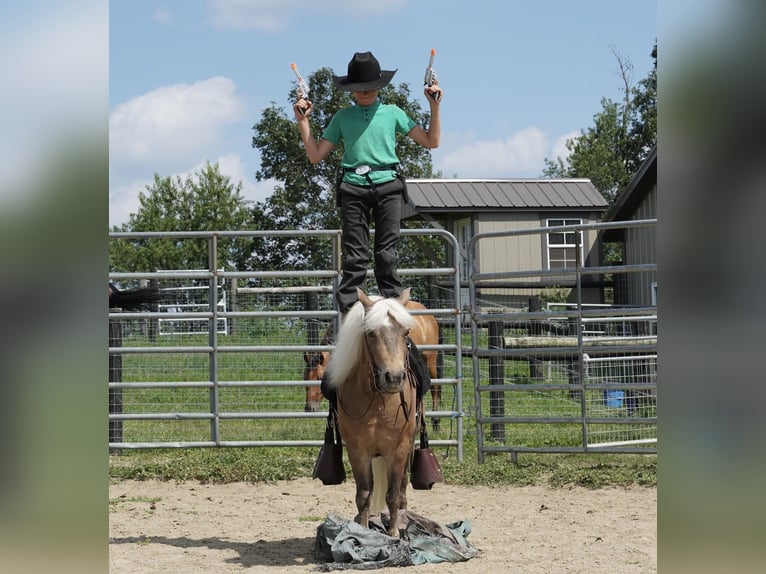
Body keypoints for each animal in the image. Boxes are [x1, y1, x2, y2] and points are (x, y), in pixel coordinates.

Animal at [303, 301, 440, 425]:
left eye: (319, 377)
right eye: (305, 378)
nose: (309, 408)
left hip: (430, 360)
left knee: (435, 387)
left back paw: (435, 421)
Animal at [324, 288, 420, 537]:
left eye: (405, 332)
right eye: (371, 334)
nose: (394, 378)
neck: (379, 401)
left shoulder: (398, 450)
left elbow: (393, 494)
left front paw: (394, 534)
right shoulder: (357, 451)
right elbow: (364, 495)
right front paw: (363, 530)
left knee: (402, 488)